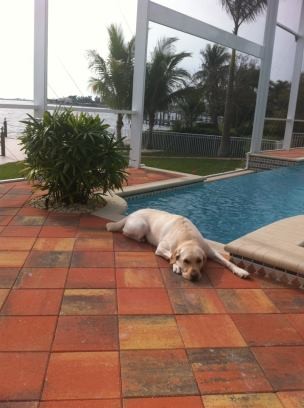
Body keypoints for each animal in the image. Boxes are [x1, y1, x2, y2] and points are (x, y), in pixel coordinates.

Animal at [107, 209, 249, 282]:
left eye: (199, 260)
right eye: (186, 261)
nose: (194, 276)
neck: (188, 237)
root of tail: (131, 213)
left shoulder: (210, 251)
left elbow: (227, 261)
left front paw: (240, 270)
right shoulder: (161, 248)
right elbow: (171, 255)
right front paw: (176, 266)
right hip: (141, 225)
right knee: (125, 232)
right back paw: (141, 239)